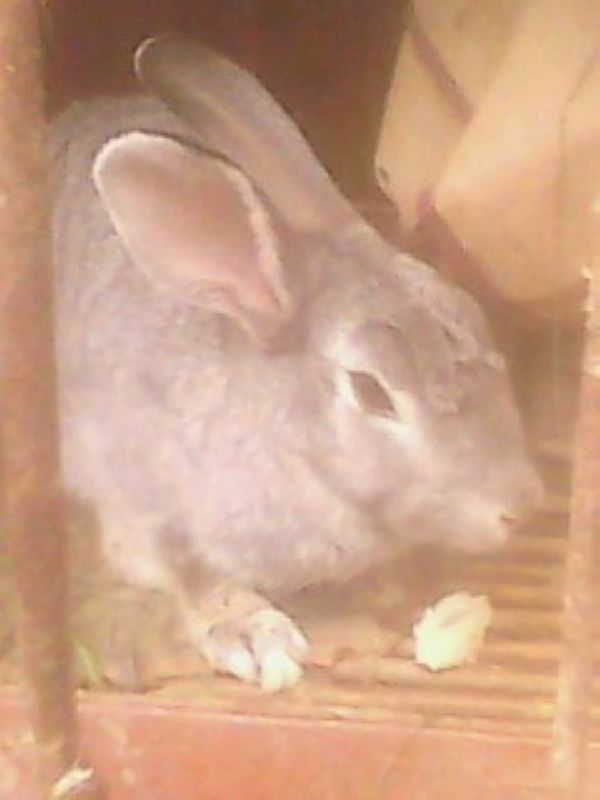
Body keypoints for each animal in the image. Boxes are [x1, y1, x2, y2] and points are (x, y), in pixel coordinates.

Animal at [50, 36, 542, 691]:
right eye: (371, 391)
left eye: (473, 320)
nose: (520, 507)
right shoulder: (145, 501)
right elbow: (193, 578)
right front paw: (255, 636)